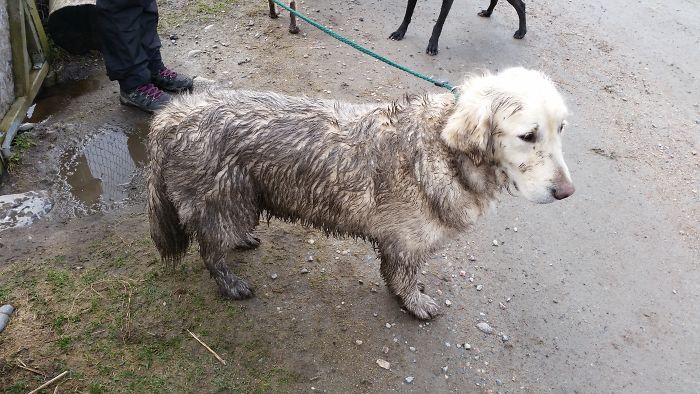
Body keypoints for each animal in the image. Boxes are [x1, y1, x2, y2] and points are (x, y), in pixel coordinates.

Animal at [149, 67, 576, 320]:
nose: (566, 192)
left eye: (561, 128)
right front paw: (415, 303)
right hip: (224, 199)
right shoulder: (405, 244)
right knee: (210, 250)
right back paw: (230, 282)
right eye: (528, 135)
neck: (444, 150)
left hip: (236, 201)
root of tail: (174, 116)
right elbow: (403, 278)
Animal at [388, 0, 524, 55]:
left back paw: (522, 32)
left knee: (521, 5)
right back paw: (487, 13)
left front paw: (433, 44)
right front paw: (400, 32)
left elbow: (438, 24)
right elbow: (408, 14)